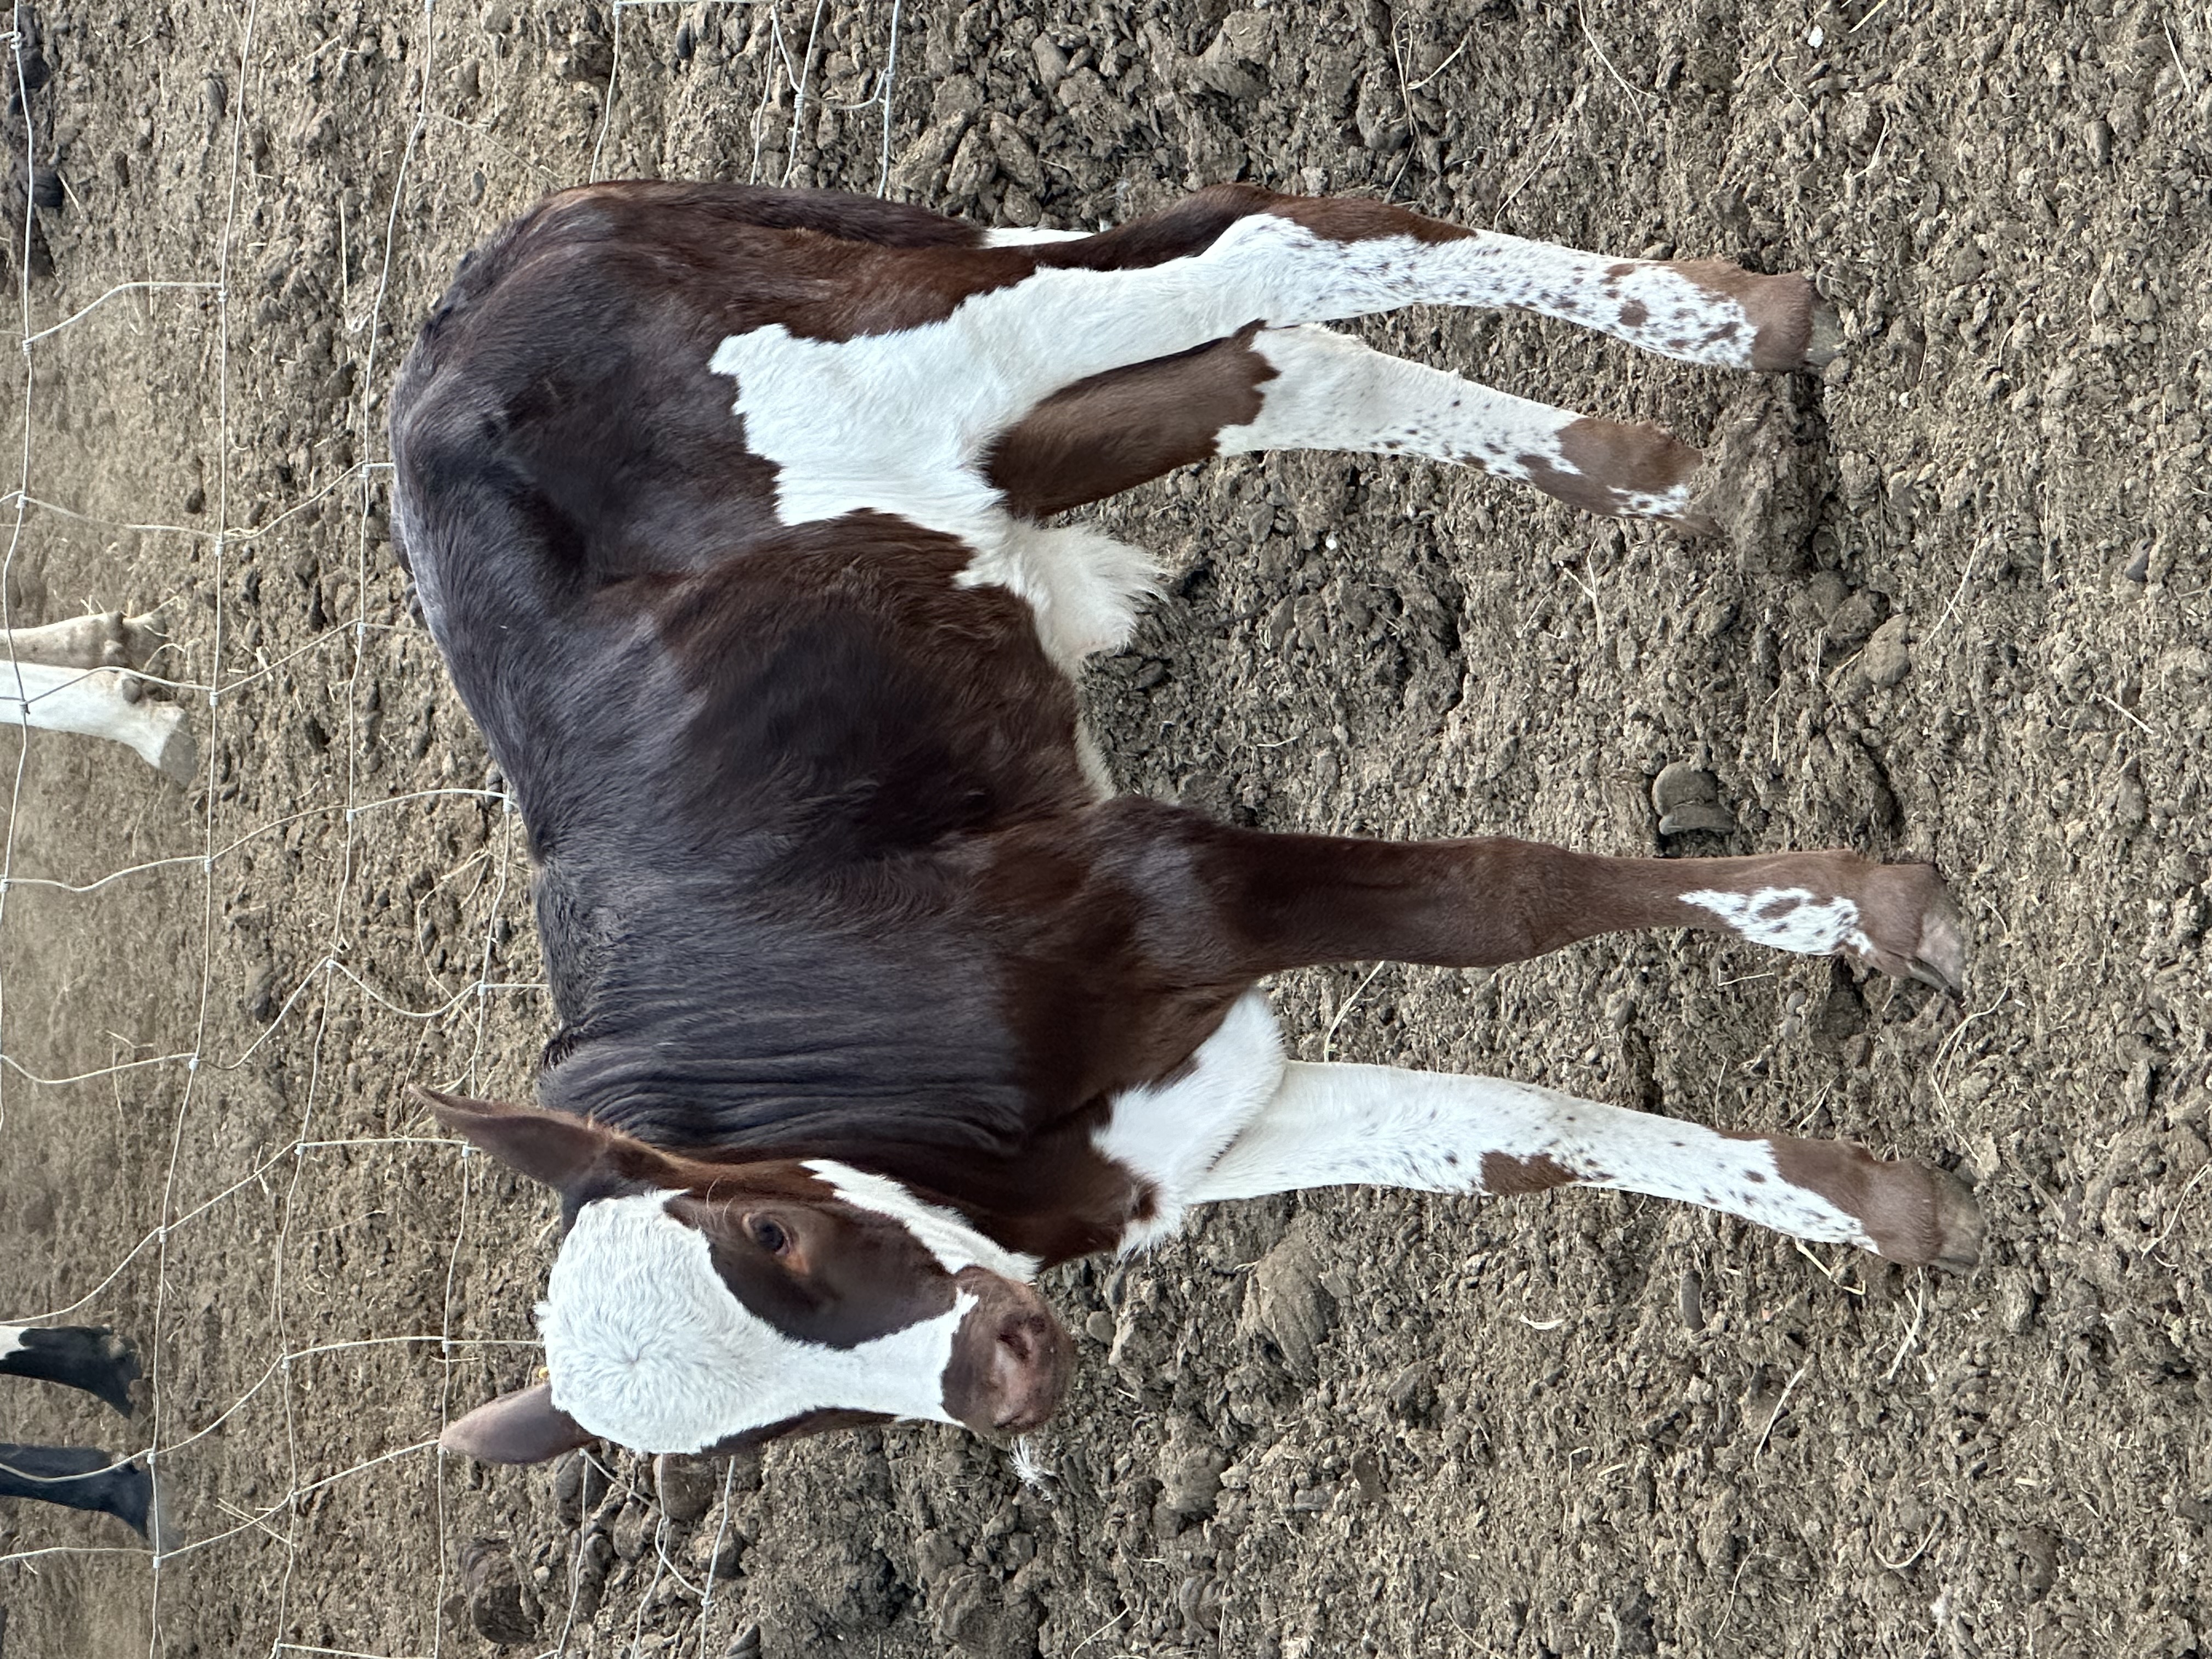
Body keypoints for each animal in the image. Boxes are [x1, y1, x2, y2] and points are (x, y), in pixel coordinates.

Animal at [390, 182, 1976, 1467]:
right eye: (755, 1442)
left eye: (769, 1233)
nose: (1007, 1380)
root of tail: (467, 305)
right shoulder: (1178, 1133)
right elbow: (1510, 1144)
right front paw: (1882, 1209)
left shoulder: (1164, 884)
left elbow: (1496, 900)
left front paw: (1868, 912)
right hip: (961, 453)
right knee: (1267, 365)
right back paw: (1654, 471)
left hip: (911, 349)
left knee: (1267, 242)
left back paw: (1735, 320)